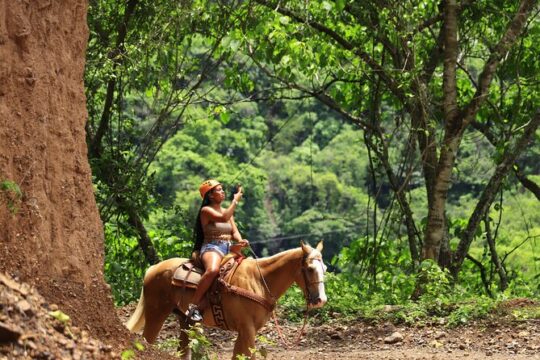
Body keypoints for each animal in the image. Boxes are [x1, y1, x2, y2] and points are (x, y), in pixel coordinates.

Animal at [126, 240, 326, 358]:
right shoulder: (247, 330)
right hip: (156, 315)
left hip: (185, 321)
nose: (321, 300)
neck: (259, 280)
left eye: (324, 268)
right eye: (309, 268)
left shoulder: (244, 332)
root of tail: (153, 269)